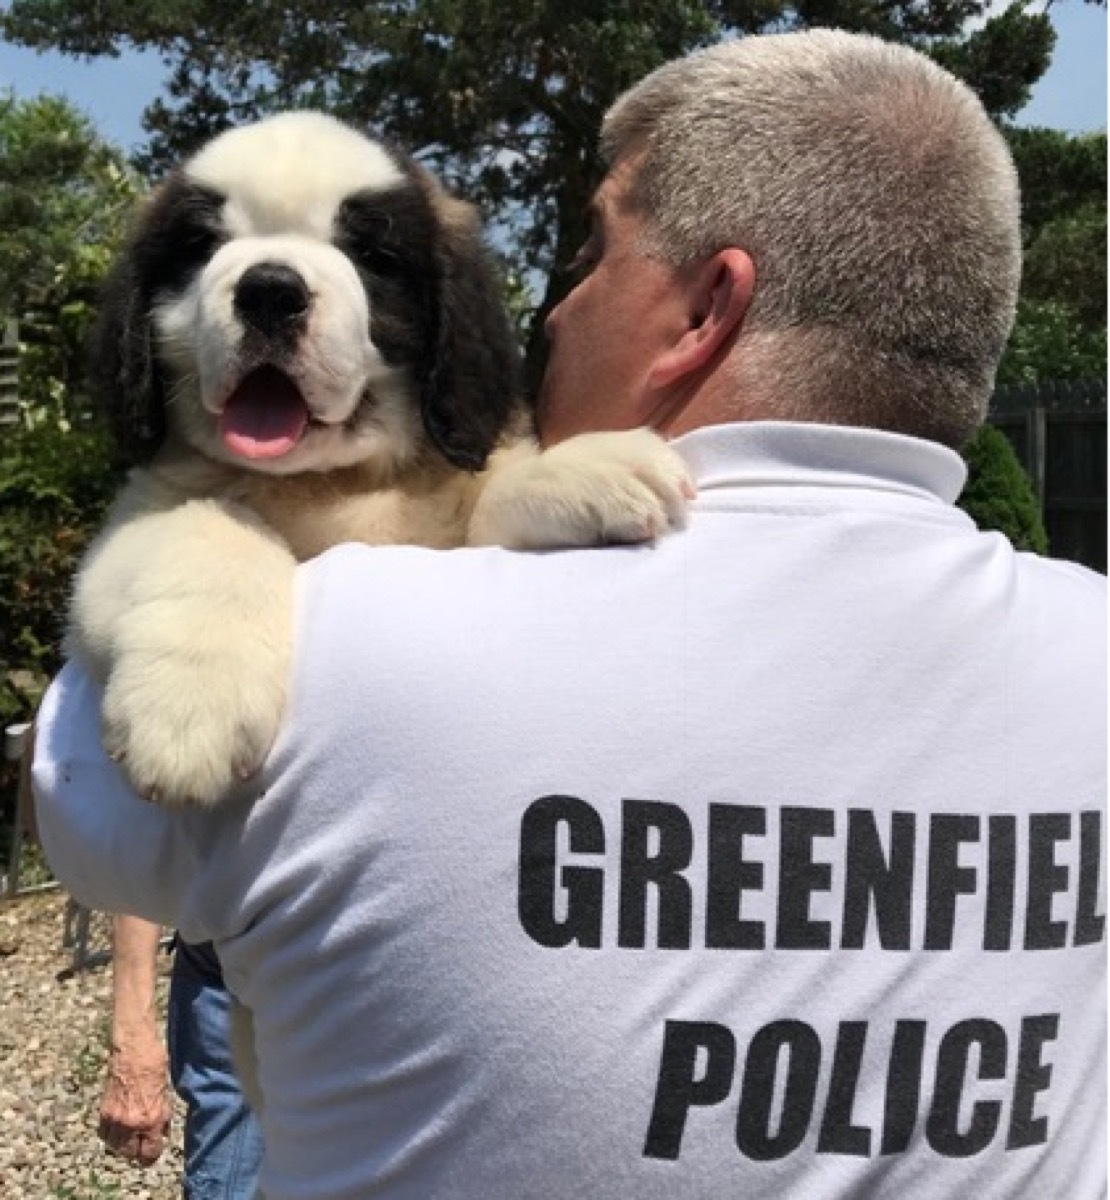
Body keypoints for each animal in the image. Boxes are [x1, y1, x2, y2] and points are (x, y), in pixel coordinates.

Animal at [69, 112, 686, 811]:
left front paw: (586, 467)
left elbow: (482, 499)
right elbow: (208, 522)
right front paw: (190, 706)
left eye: (371, 257)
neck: (331, 481)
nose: (270, 291)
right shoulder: (131, 525)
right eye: (203, 246)